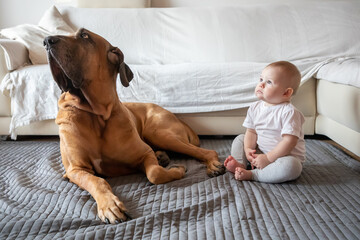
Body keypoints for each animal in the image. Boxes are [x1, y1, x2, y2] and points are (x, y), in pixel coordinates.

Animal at [43, 29, 225, 224]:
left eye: (84, 36)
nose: (46, 41)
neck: (95, 115)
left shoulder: (144, 153)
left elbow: (154, 173)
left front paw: (176, 169)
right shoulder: (76, 169)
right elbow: (95, 181)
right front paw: (109, 206)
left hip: (158, 133)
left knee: (206, 151)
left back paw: (211, 165)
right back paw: (162, 156)